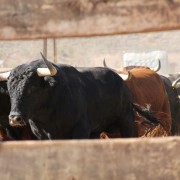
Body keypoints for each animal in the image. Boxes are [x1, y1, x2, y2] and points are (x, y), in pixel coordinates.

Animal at [0, 55, 159, 140]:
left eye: (32, 88)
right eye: (10, 89)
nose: (15, 118)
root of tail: (121, 81)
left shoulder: (80, 130)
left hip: (126, 122)